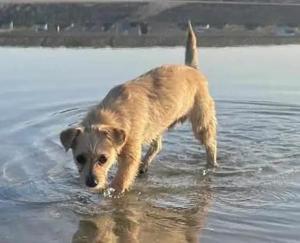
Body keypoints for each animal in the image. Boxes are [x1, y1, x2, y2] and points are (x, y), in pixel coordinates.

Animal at [59, 21, 217, 195]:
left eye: (103, 158)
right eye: (79, 158)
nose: (91, 182)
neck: (114, 113)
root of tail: (192, 68)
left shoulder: (131, 155)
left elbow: (120, 181)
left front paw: (113, 192)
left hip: (202, 122)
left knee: (211, 144)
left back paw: (212, 165)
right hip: (157, 126)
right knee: (157, 146)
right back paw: (144, 165)